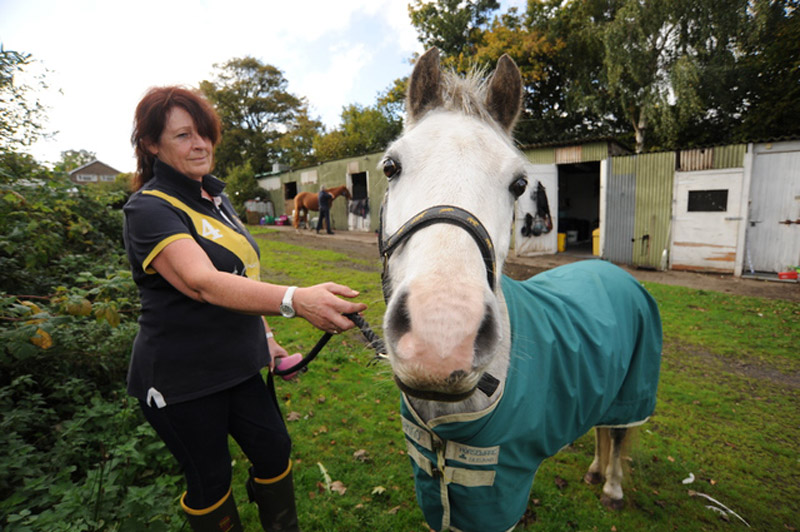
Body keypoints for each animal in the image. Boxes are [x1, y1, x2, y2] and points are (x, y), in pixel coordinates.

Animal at [382, 47, 664, 528]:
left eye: (519, 184)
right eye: (390, 166)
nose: (442, 336)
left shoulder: (499, 499)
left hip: (632, 395)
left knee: (617, 435)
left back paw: (611, 488)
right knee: (601, 430)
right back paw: (594, 472)